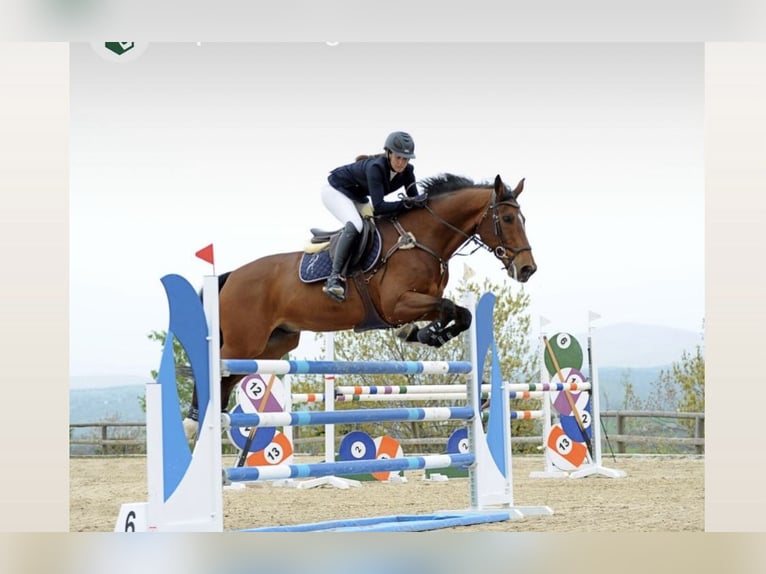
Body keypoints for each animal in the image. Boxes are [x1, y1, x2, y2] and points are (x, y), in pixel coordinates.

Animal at [183, 173, 537, 437]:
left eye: (523, 218)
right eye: (507, 218)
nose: (527, 269)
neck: (422, 239)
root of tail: (230, 276)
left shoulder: (420, 303)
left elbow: (460, 313)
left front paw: (427, 334)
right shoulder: (397, 305)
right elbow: (450, 308)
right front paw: (427, 334)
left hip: (272, 345)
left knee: (228, 377)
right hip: (245, 342)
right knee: (215, 370)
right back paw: (193, 420)